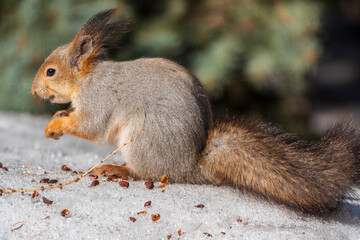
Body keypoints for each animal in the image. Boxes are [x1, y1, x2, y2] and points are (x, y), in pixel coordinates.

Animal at [31, 9, 360, 216]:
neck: (88, 78)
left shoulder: (99, 100)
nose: (33, 91)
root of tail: (189, 166)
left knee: (147, 173)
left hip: (143, 139)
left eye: (50, 71)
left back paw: (118, 169)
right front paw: (57, 119)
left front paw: (55, 126)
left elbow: (91, 127)